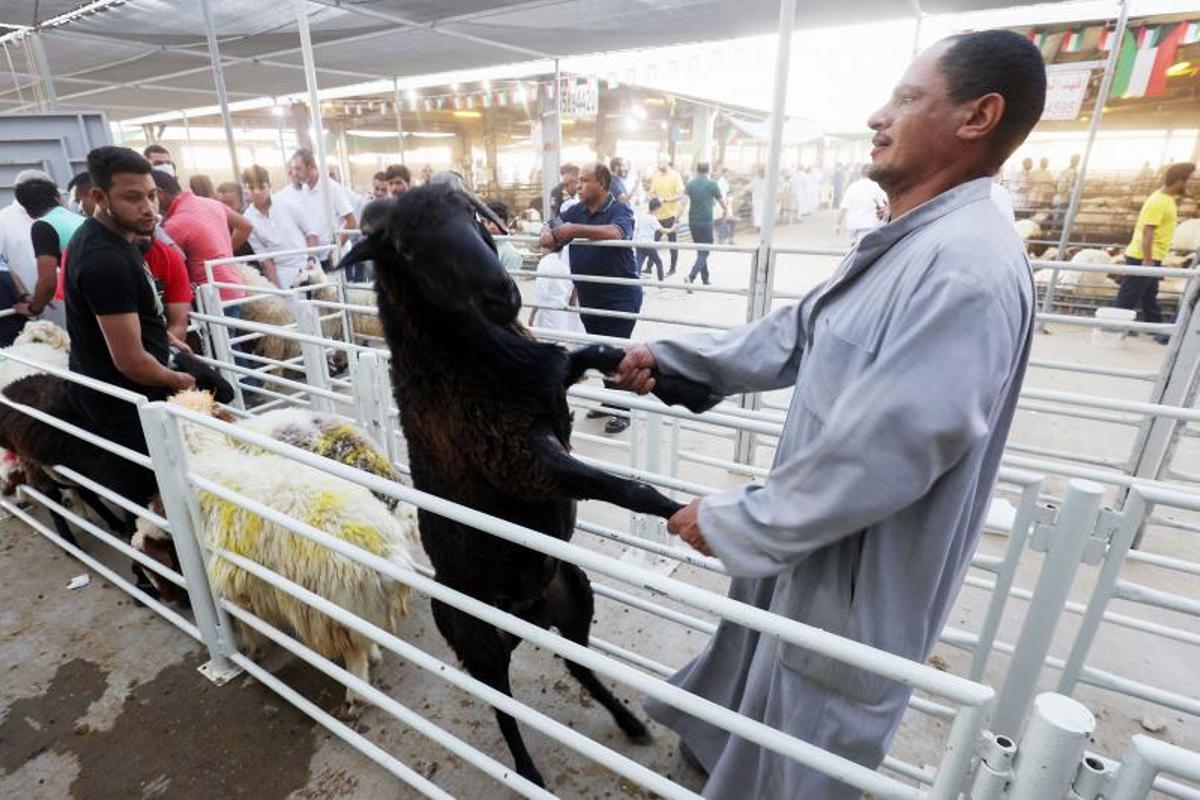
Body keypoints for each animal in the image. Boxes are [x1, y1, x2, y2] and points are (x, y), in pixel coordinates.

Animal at [333, 184, 715, 786]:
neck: (468, 363)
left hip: (573, 594)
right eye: (407, 250)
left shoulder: (552, 379)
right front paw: (690, 516)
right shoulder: (521, 459)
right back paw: (528, 772)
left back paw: (629, 721)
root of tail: (525, 614)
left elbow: (605, 353)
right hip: (478, 637)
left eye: (469, 215)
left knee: (576, 663)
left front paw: (687, 388)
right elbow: (626, 489)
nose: (502, 293)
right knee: (502, 702)